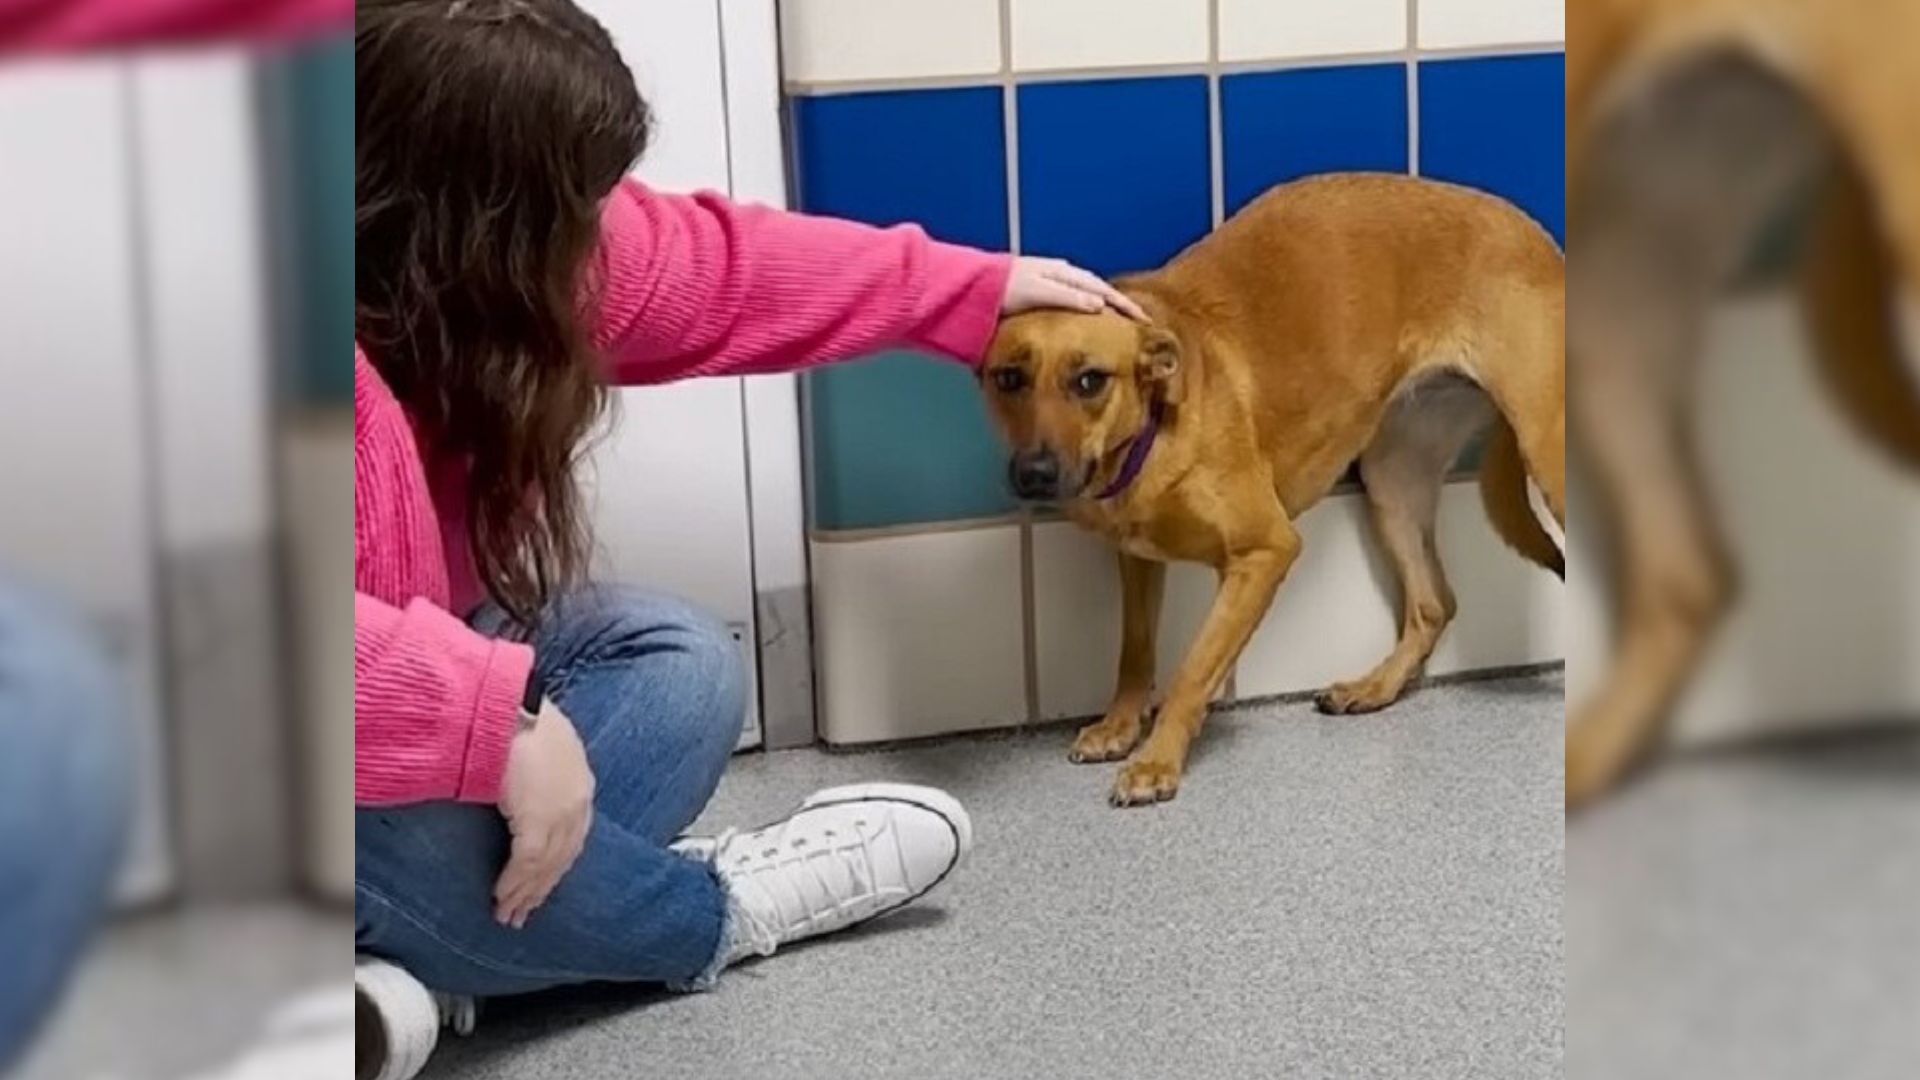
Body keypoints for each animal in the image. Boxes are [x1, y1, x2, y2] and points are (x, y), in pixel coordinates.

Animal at [983, 171, 1566, 803]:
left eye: (1090, 381)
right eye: (1008, 378)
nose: (1035, 474)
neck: (1154, 428)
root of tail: (1533, 232)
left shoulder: (1264, 551)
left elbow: (1193, 668)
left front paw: (1157, 761)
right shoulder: (1137, 560)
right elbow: (1135, 651)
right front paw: (1119, 726)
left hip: (1547, 457)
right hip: (1393, 477)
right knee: (1434, 604)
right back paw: (1374, 687)